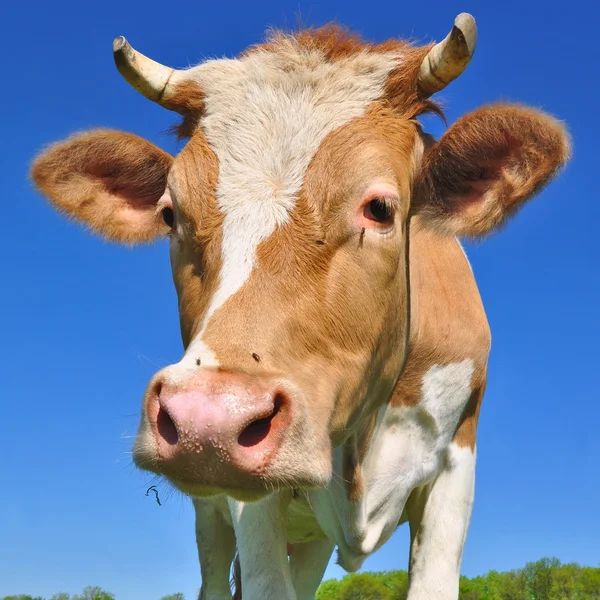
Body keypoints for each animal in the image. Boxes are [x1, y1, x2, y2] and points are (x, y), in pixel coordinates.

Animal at [29, 14, 572, 600]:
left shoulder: (456, 464)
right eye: (171, 214)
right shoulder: (248, 503)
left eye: (380, 208)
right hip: (212, 514)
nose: (208, 421)